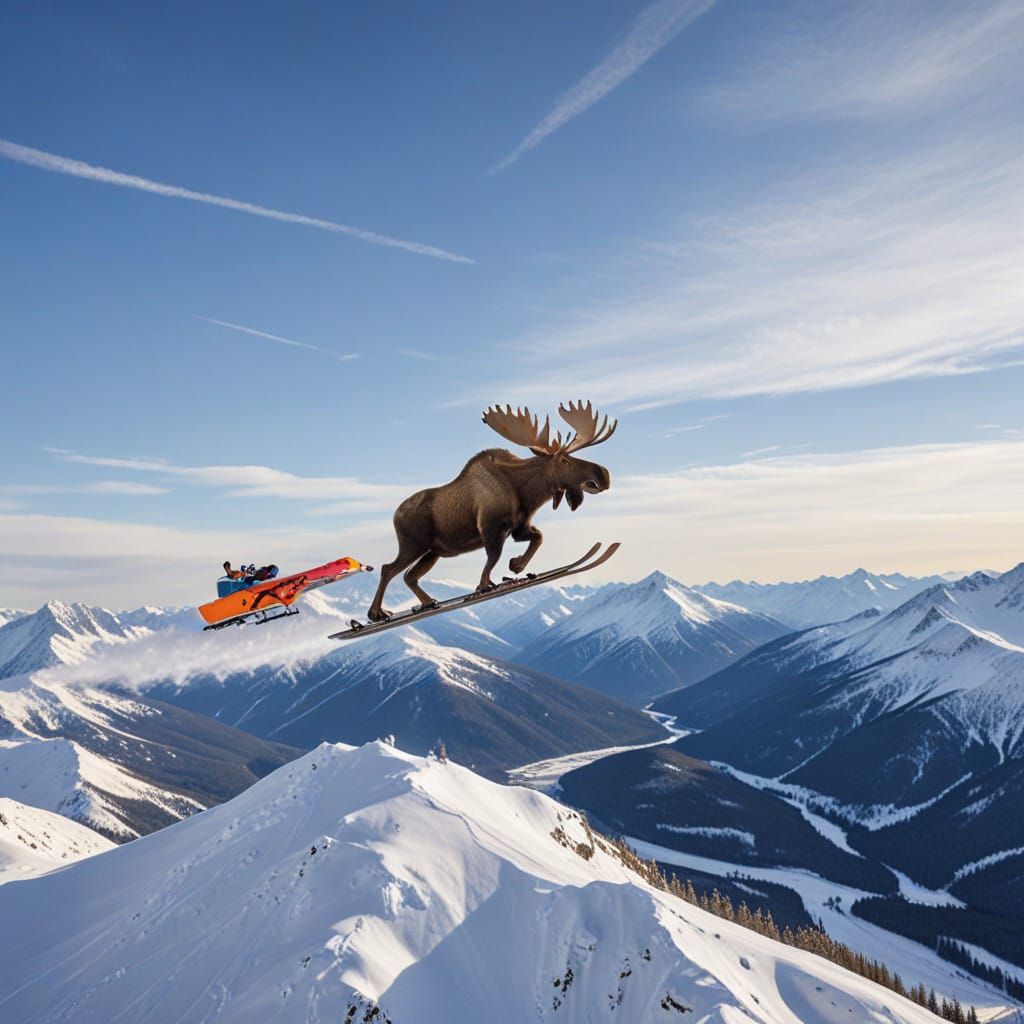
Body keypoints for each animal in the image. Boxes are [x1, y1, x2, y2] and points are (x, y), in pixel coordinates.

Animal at [366, 400, 616, 622]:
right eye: (565, 460)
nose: (603, 474)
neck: (527, 491)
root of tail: (395, 515)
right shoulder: (491, 528)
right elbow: (492, 560)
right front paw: (485, 586)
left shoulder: (518, 527)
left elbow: (538, 537)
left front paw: (516, 565)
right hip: (413, 545)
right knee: (388, 569)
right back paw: (376, 613)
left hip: (432, 551)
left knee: (409, 576)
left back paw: (428, 603)